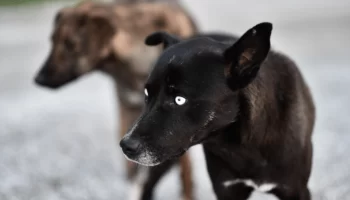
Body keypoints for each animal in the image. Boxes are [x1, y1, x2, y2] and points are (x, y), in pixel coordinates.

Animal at [119, 22, 314, 200]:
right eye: (147, 93)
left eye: (179, 99)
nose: (126, 145)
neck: (244, 145)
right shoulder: (227, 190)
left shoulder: (296, 190)